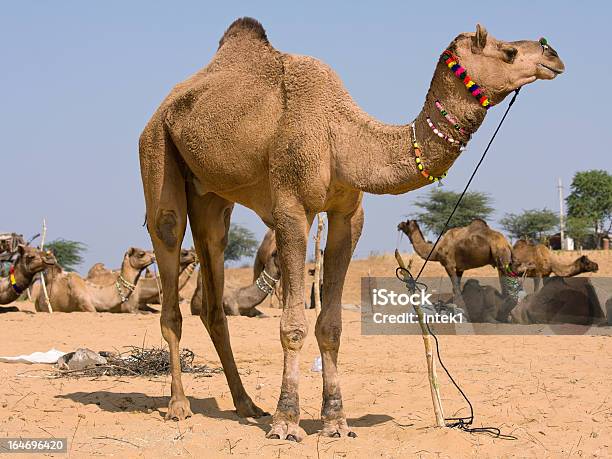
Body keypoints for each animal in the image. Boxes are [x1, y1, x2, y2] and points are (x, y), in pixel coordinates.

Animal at [140, 17, 564, 442]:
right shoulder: (291, 208)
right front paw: (286, 421)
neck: (341, 135)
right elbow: (293, 325)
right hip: (157, 153)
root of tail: (163, 108)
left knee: (214, 285)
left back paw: (246, 404)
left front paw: (336, 422)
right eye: (508, 51)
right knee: (169, 250)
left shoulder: (348, 215)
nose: (553, 55)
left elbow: (331, 325)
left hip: (212, 197)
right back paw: (179, 406)